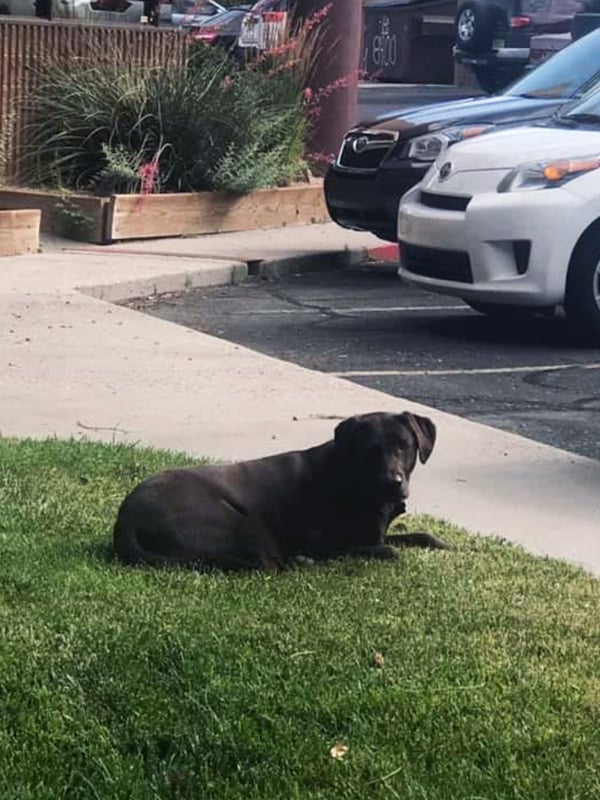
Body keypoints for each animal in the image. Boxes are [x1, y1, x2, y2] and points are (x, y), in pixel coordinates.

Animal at [113, 412, 450, 568]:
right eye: (371, 450)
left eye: (404, 446)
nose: (393, 482)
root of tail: (125, 520)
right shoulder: (328, 544)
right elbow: (387, 549)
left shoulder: (375, 533)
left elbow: (420, 535)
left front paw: (446, 545)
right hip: (240, 521)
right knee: (266, 564)